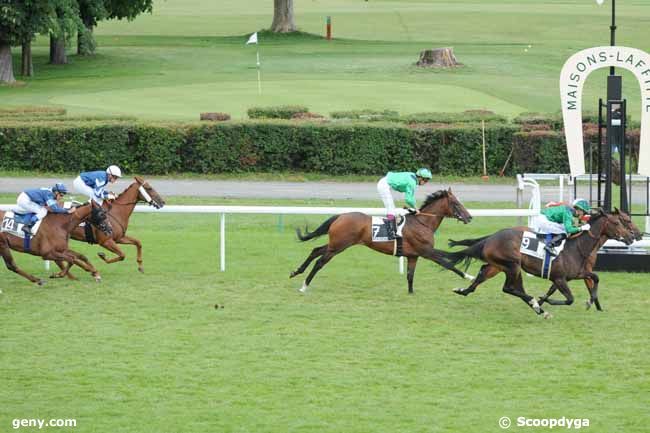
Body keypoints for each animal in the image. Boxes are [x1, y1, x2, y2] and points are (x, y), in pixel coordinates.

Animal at [288, 189, 470, 294]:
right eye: (456, 203)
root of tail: (340, 215)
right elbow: (448, 264)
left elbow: (410, 276)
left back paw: (296, 272)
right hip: (338, 246)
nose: (469, 217)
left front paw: (411, 293)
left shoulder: (413, 255)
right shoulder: (426, 252)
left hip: (335, 243)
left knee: (315, 250)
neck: (422, 223)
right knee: (319, 262)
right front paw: (468, 276)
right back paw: (304, 285)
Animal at [432, 210, 632, 318]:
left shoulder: (576, 274)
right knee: (509, 288)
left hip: (499, 266)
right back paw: (536, 305)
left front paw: (591, 302)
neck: (577, 247)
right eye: (617, 222)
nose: (631, 237)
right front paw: (546, 299)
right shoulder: (560, 278)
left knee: (485, 278)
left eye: (624, 221)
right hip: (513, 265)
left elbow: (595, 278)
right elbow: (569, 299)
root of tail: (491, 237)